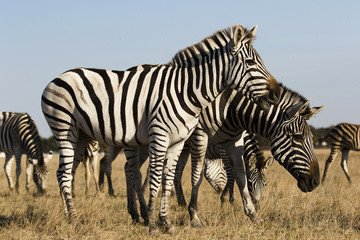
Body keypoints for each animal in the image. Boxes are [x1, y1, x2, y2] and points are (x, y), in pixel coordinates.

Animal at [41, 25, 278, 233]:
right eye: (249, 62)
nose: (275, 94)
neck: (186, 91)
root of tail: (56, 78)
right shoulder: (162, 137)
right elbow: (158, 178)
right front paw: (156, 225)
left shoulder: (178, 142)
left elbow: (169, 178)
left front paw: (167, 223)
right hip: (65, 130)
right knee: (69, 174)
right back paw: (76, 220)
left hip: (81, 136)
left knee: (66, 172)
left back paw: (73, 216)